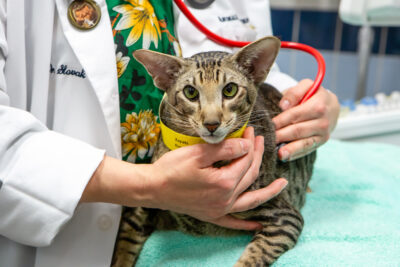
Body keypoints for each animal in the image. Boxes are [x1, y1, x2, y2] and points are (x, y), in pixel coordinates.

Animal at [110, 36, 316, 267]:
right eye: (190, 92)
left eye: (230, 90)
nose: (211, 123)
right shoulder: (143, 204)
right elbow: (125, 239)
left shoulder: (285, 217)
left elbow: (252, 258)